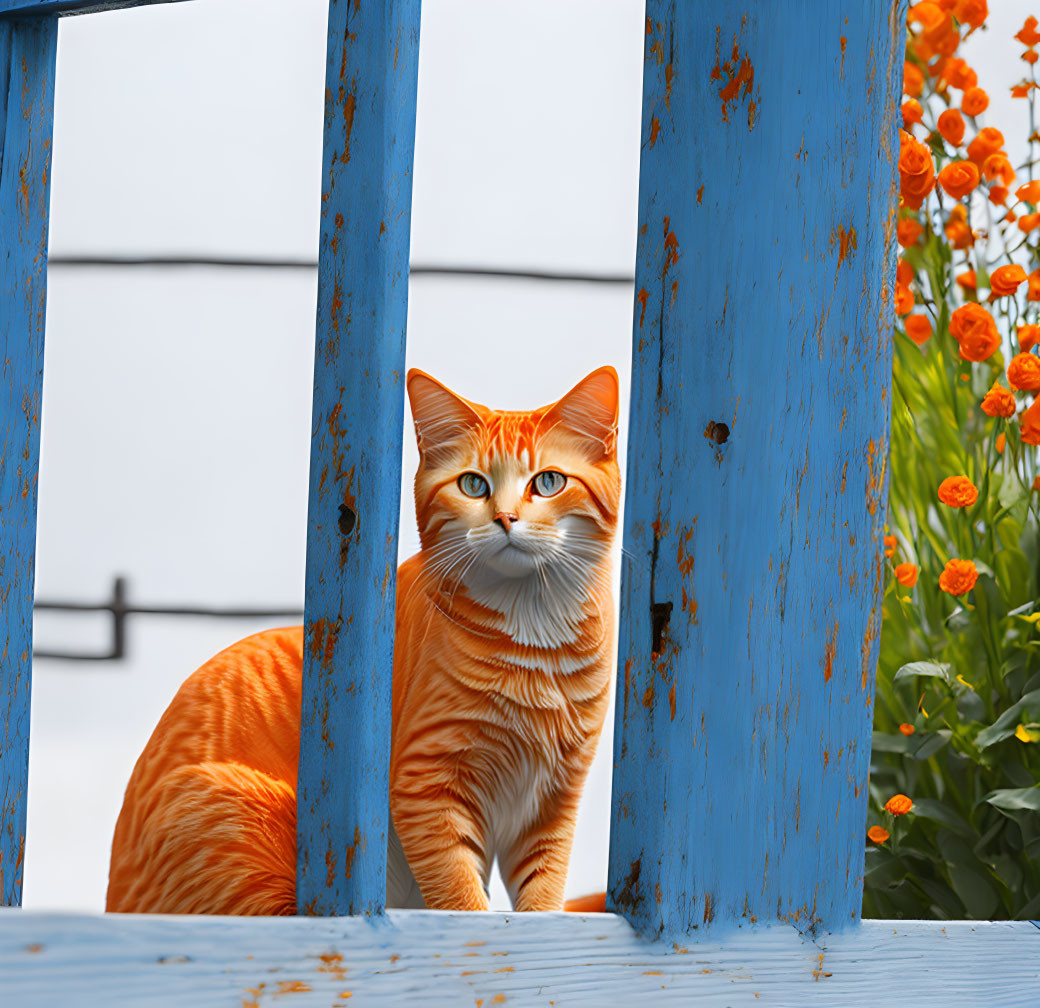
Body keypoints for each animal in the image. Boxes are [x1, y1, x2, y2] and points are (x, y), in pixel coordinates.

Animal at [107, 368, 615, 911]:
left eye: (548, 482)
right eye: (473, 484)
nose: (505, 519)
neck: (536, 632)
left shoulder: (554, 800)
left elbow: (543, 896)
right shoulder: (426, 784)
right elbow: (460, 897)